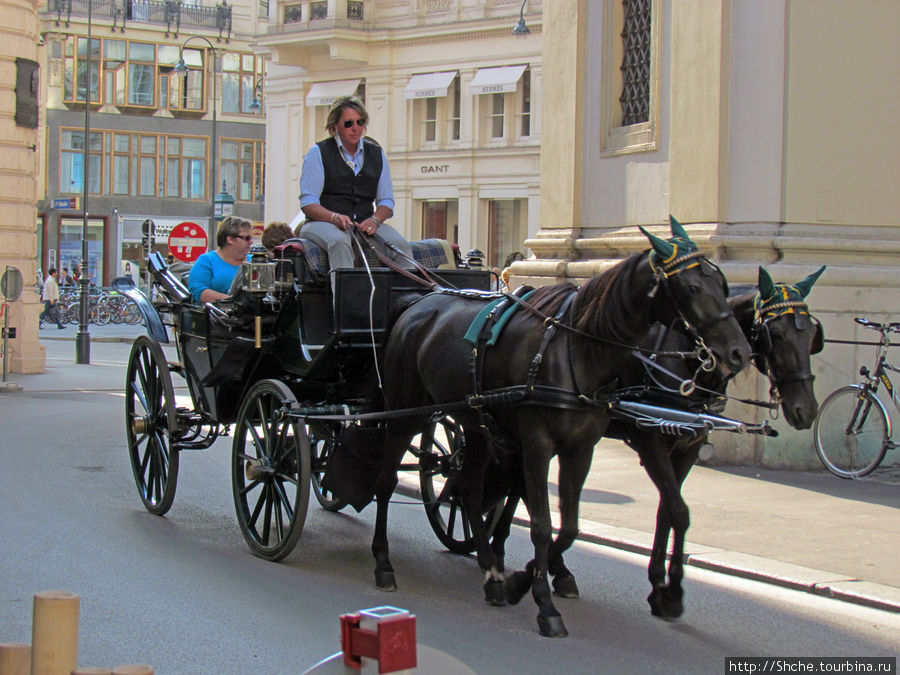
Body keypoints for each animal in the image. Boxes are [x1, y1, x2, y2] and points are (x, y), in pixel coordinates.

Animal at [370, 219, 748, 636]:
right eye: (693, 287)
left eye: (723, 285)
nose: (738, 352)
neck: (574, 352)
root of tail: (416, 303)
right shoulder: (542, 445)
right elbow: (541, 524)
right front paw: (544, 603)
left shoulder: (581, 449)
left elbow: (570, 526)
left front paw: (524, 580)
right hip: (405, 412)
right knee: (386, 481)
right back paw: (384, 562)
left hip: (476, 424)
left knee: (468, 489)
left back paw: (492, 573)